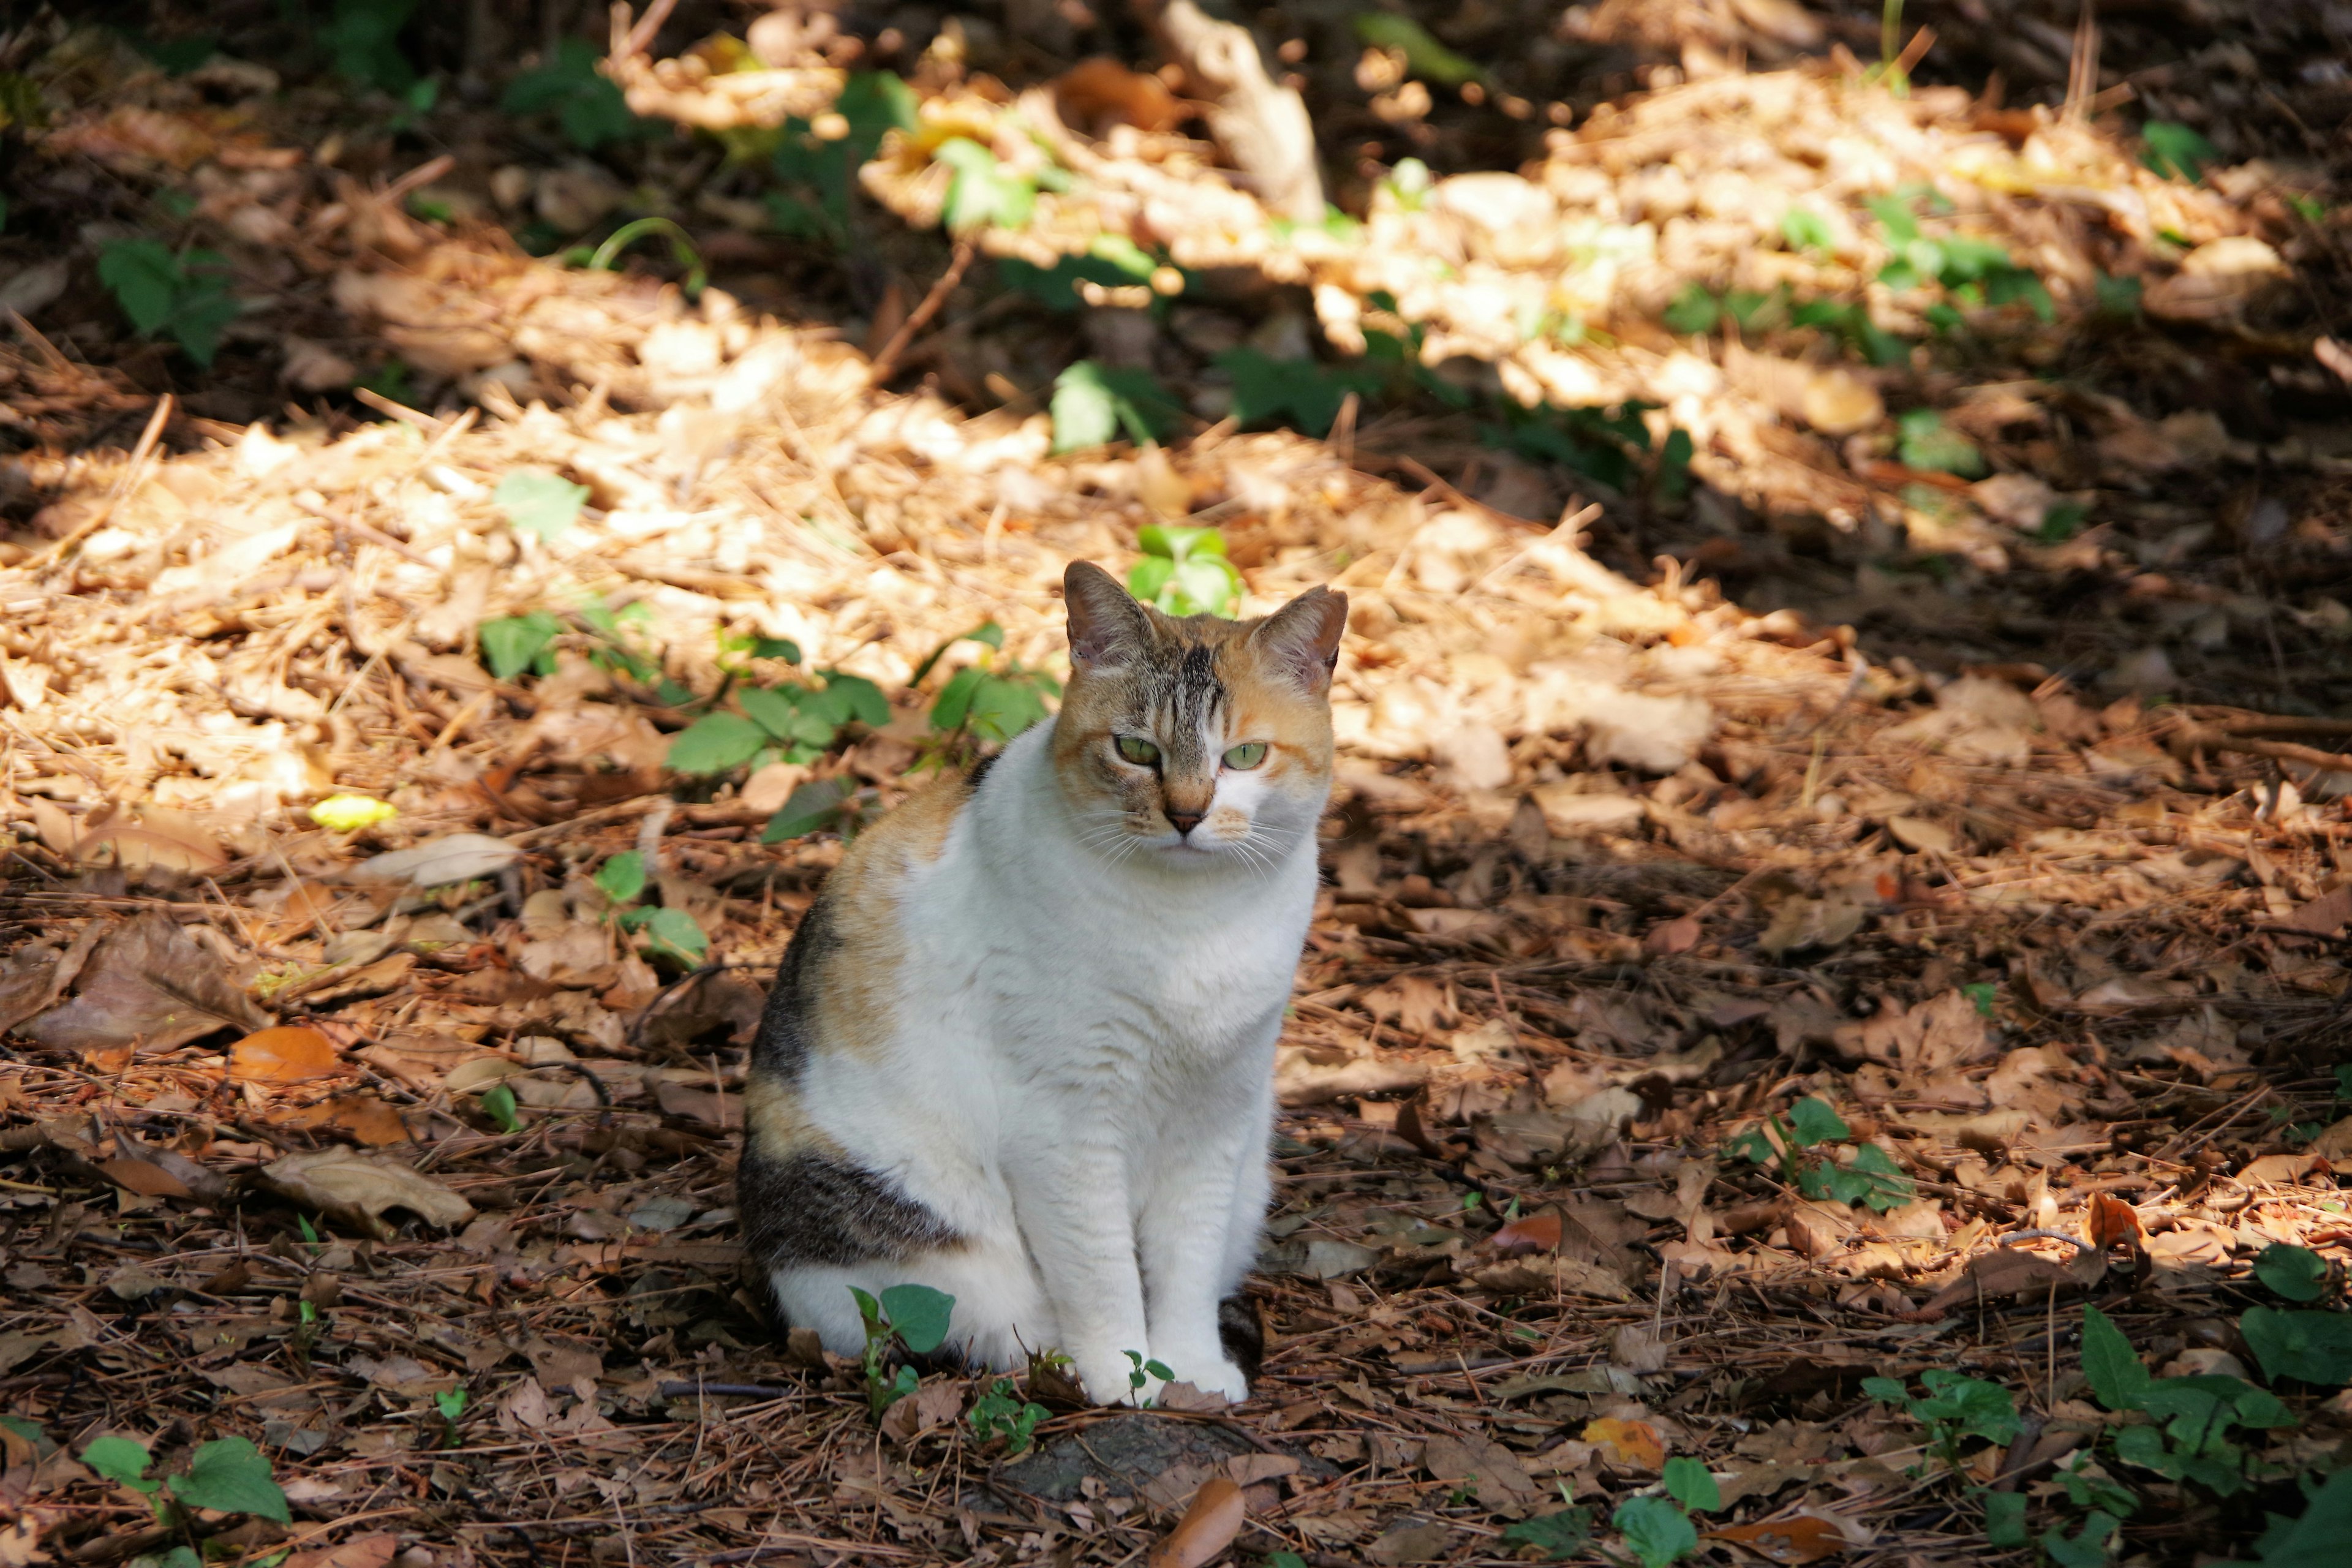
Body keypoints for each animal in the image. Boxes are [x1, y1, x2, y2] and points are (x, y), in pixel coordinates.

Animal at [734, 557, 1345, 1401]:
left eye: (1246, 756)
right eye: (1136, 749)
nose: (1187, 814)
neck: (1192, 922)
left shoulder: (1219, 1110)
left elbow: (1187, 1257)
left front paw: (1190, 1372)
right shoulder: (1064, 1123)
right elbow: (1100, 1269)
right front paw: (1125, 1377)